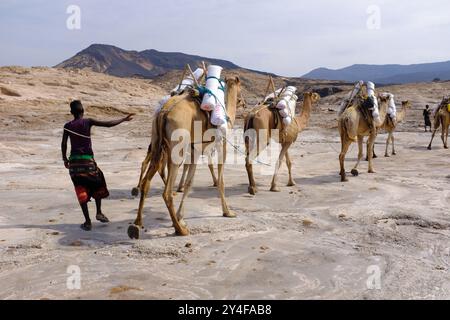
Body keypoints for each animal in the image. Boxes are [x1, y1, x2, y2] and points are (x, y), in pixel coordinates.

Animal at [127, 76, 243, 239]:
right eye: (241, 88)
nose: (243, 102)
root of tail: (164, 112)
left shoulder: (195, 151)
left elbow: (189, 183)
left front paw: (180, 216)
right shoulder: (221, 146)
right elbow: (221, 181)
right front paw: (227, 212)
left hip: (157, 144)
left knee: (147, 182)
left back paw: (136, 224)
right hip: (177, 146)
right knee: (167, 192)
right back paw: (180, 230)